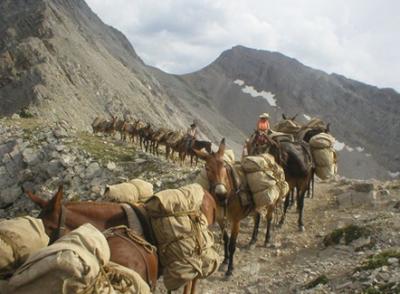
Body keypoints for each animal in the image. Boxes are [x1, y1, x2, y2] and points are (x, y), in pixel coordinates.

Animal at [193, 139, 278, 276]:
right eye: (207, 168)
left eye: (224, 166)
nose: (221, 194)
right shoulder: (220, 219)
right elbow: (225, 239)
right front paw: (225, 261)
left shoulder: (236, 221)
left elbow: (232, 244)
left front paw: (230, 269)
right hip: (255, 206)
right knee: (257, 217)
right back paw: (252, 241)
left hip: (271, 202)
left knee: (269, 218)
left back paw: (267, 240)